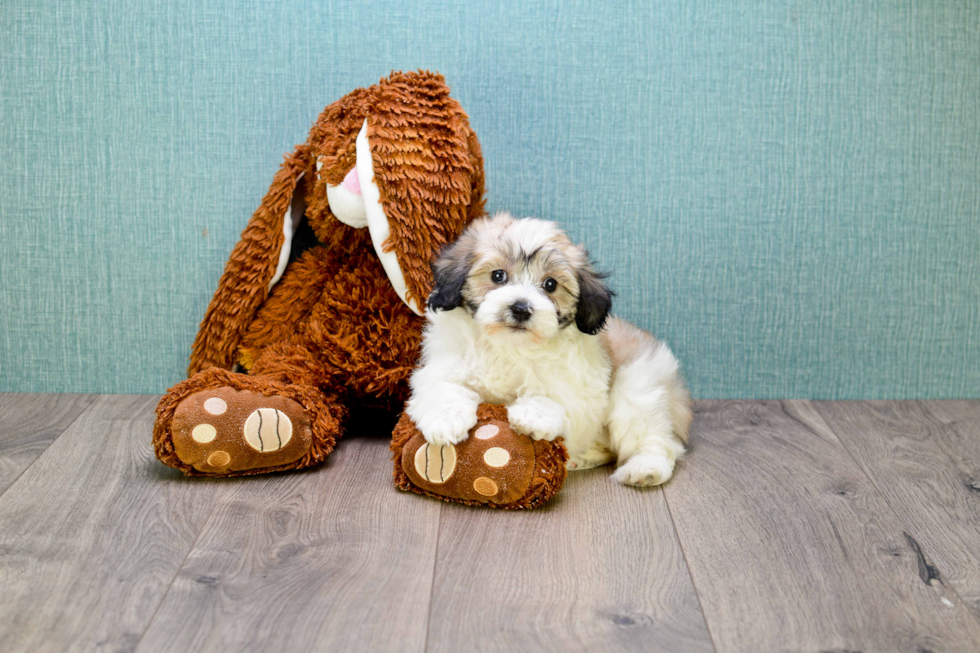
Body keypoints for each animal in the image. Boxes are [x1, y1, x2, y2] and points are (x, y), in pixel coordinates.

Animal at [404, 213, 688, 484]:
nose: (520, 308)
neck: (509, 347)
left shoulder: (582, 390)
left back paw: (645, 469)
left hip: (639, 387)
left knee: (658, 440)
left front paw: (531, 414)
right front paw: (446, 420)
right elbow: (443, 388)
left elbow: (557, 400)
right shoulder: (441, 366)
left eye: (550, 284)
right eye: (498, 275)